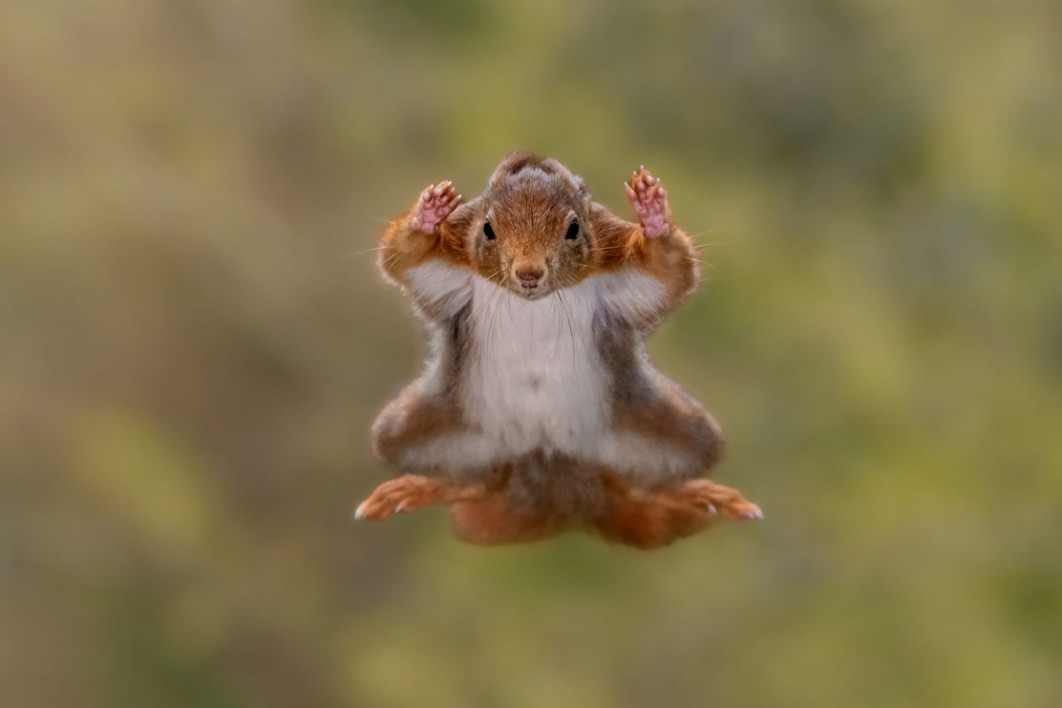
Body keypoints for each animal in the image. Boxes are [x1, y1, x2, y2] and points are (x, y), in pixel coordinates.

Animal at [356, 152, 761, 549]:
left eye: (574, 228)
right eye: (488, 228)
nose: (529, 274)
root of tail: (552, 471)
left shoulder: (617, 267)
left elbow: (668, 273)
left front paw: (654, 216)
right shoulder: (451, 267)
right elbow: (404, 260)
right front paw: (427, 216)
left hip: (672, 430)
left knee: (639, 484)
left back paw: (695, 494)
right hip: (425, 429)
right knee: (478, 479)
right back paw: (422, 486)